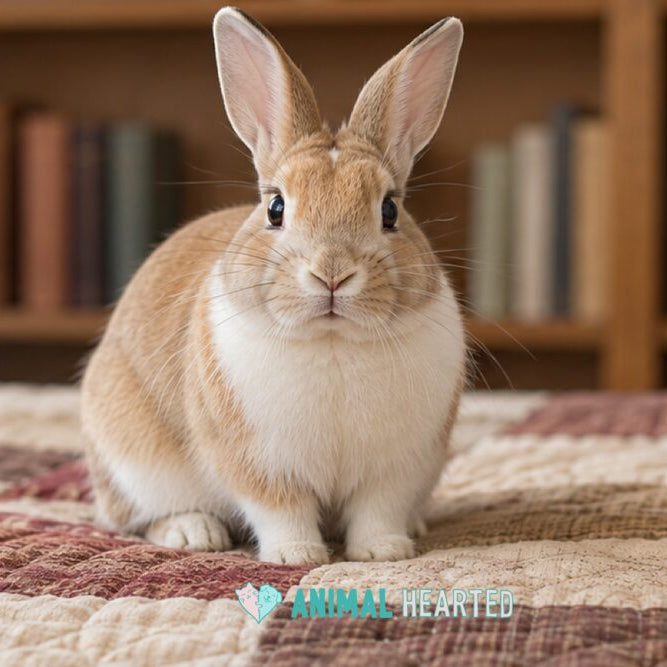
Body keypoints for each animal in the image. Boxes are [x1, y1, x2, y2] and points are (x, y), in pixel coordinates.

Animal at [81, 6, 466, 565]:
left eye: (390, 210)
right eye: (276, 208)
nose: (332, 273)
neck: (332, 340)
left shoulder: (395, 468)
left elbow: (377, 510)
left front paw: (384, 552)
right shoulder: (258, 465)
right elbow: (281, 510)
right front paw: (297, 557)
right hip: (134, 465)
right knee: (134, 518)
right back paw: (194, 533)